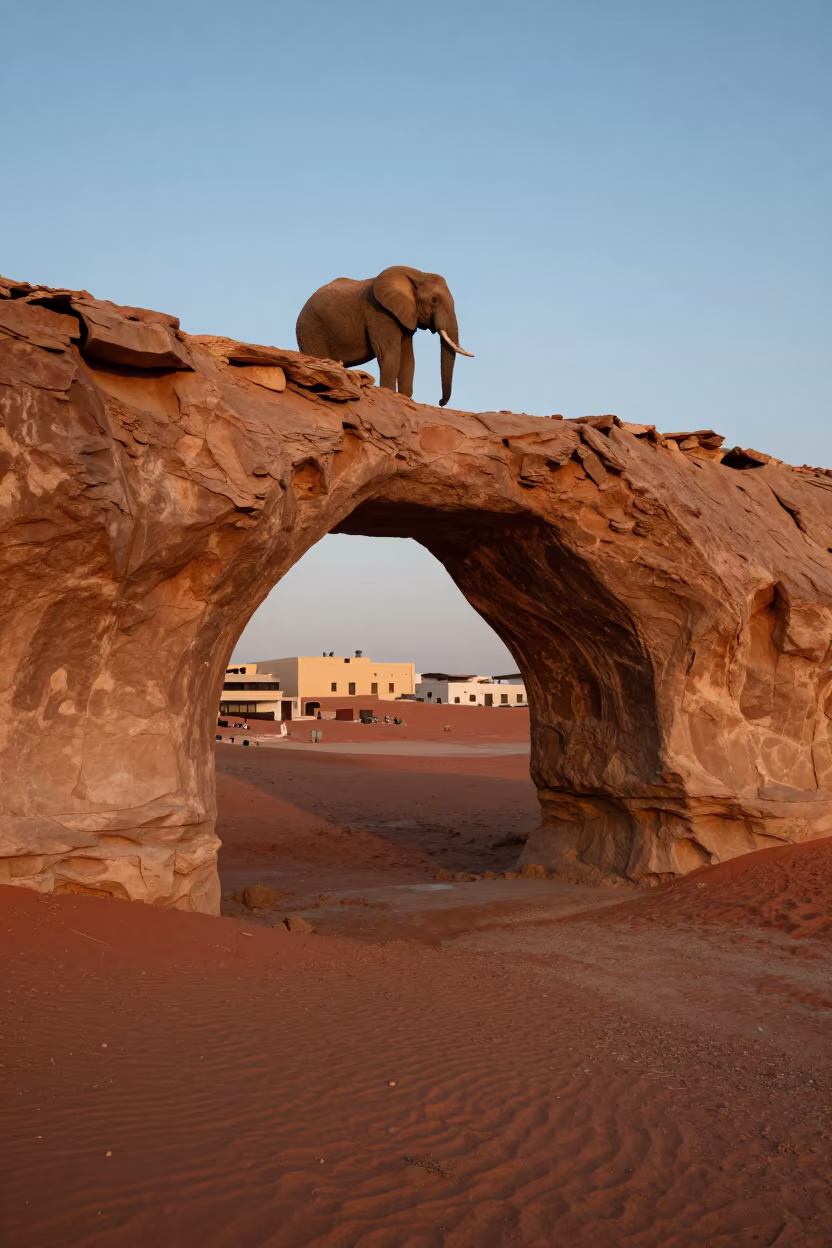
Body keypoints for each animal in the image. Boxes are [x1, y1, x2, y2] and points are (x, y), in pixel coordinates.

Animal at [296, 265, 473, 407]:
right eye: (434, 300)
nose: (440, 402)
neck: (416, 276)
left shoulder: (405, 315)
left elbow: (408, 357)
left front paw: (406, 399)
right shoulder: (379, 312)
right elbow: (390, 353)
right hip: (311, 329)